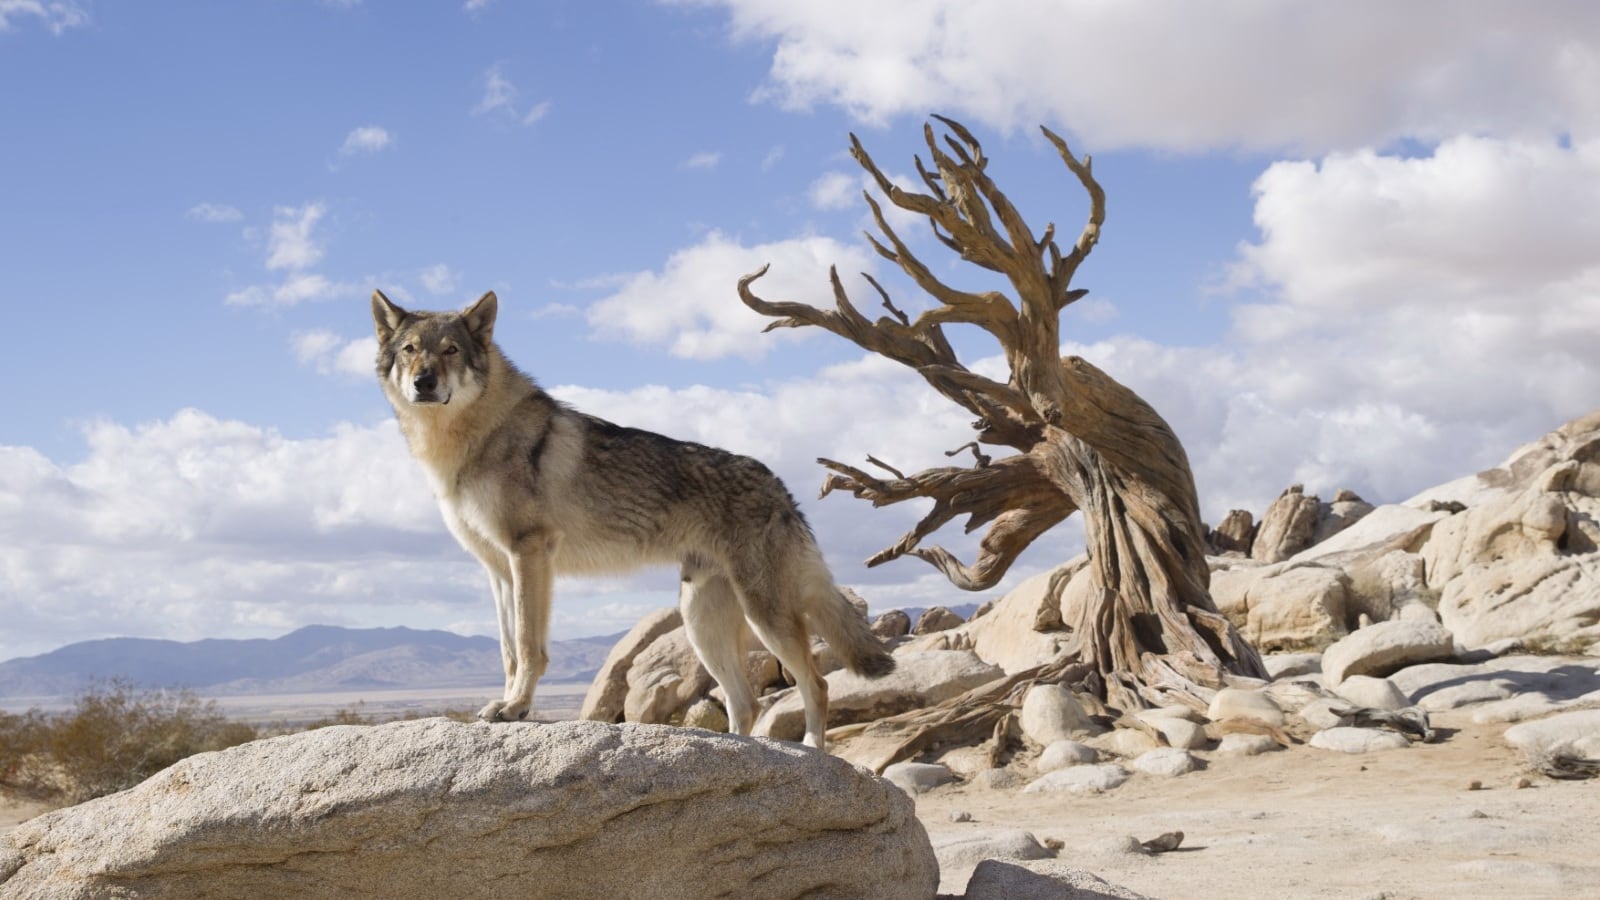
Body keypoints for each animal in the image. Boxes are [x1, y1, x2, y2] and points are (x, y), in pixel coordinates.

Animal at [374, 288, 902, 749]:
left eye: (450, 351)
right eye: (410, 350)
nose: (424, 382)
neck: (469, 440)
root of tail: (781, 487)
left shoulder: (529, 553)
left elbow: (527, 645)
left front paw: (516, 708)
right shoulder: (499, 570)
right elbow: (507, 650)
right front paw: (505, 704)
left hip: (762, 615)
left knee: (816, 684)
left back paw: (811, 749)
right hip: (700, 622)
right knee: (745, 702)